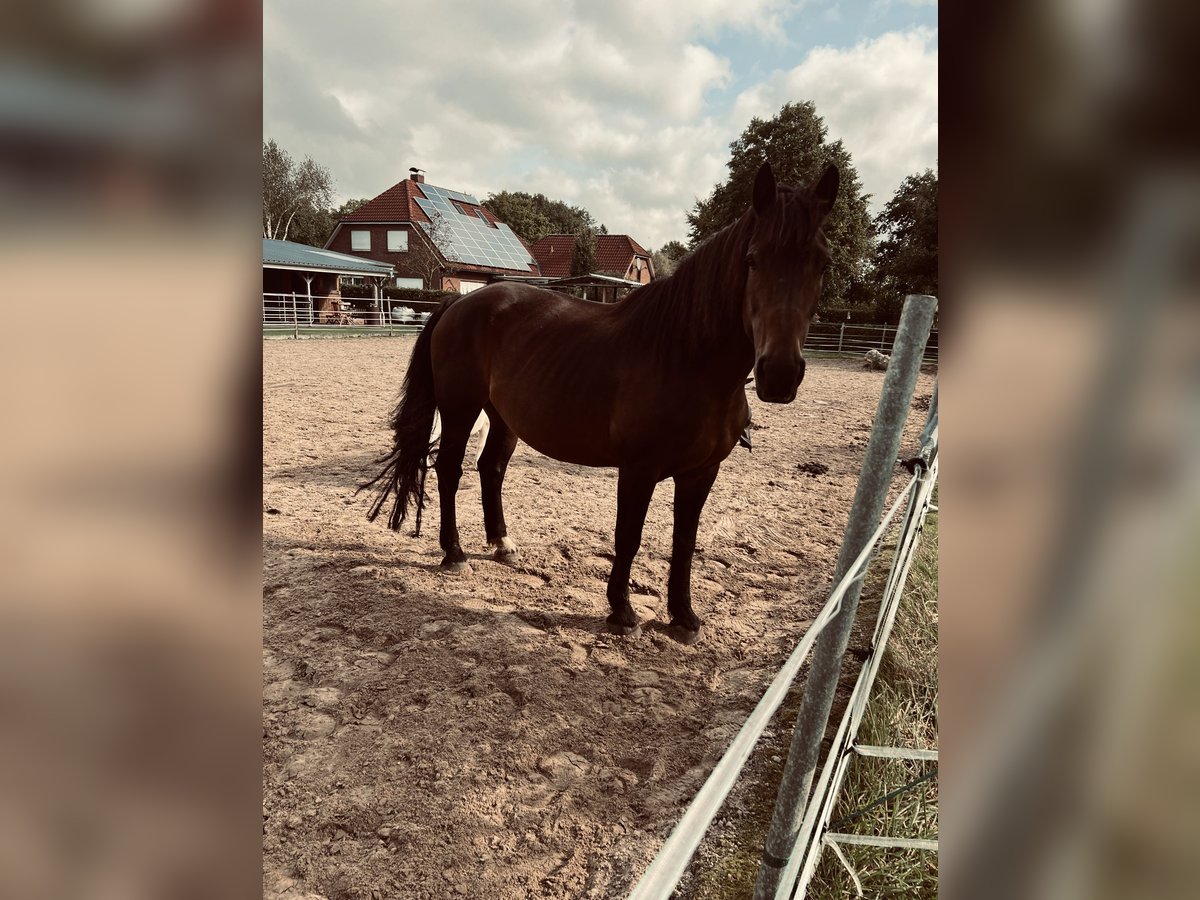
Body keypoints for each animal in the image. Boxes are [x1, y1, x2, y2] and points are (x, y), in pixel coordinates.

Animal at [360, 160, 840, 643]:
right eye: (753, 259)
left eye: (823, 263)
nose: (779, 374)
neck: (688, 361)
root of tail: (459, 302)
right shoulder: (639, 470)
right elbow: (628, 536)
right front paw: (622, 611)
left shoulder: (702, 473)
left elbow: (684, 541)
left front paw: (683, 617)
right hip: (461, 409)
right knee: (449, 470)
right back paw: (454, 553)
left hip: (504, 418)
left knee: (490, 469)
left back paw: (502, 544)